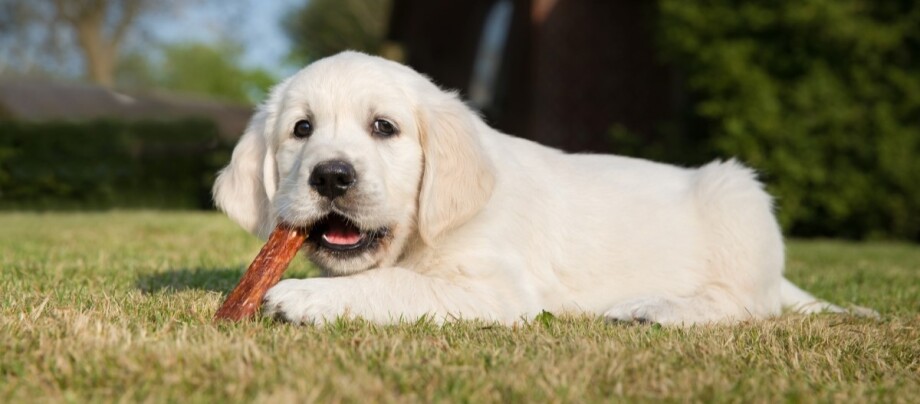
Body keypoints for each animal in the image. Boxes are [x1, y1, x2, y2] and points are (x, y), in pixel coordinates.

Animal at [212, 51, 844, 326]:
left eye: (383, 127)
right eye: (302, 129)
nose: (331, 175)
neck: (423, 235)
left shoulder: (498, 289)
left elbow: (403, 284)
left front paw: (306, 296)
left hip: (737, 196)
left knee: (747, 304)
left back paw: (655, 308)